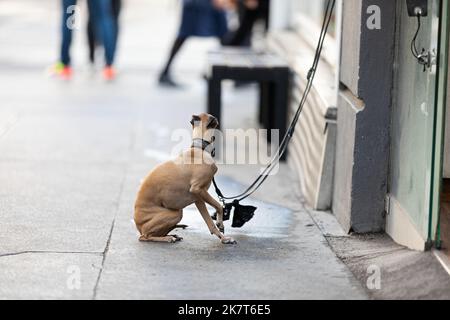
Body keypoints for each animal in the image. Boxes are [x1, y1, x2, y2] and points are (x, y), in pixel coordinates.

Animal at [134, 113, 237, 245]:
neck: (199, 149)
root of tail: (139, 227)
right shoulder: (197, 189)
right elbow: (219, 205)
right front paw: (222, 230)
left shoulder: (199, 198)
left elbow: (210, 223)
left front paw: (222, 237)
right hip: (174, 214)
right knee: (145, 236)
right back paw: (167, 238)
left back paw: (172, 235)